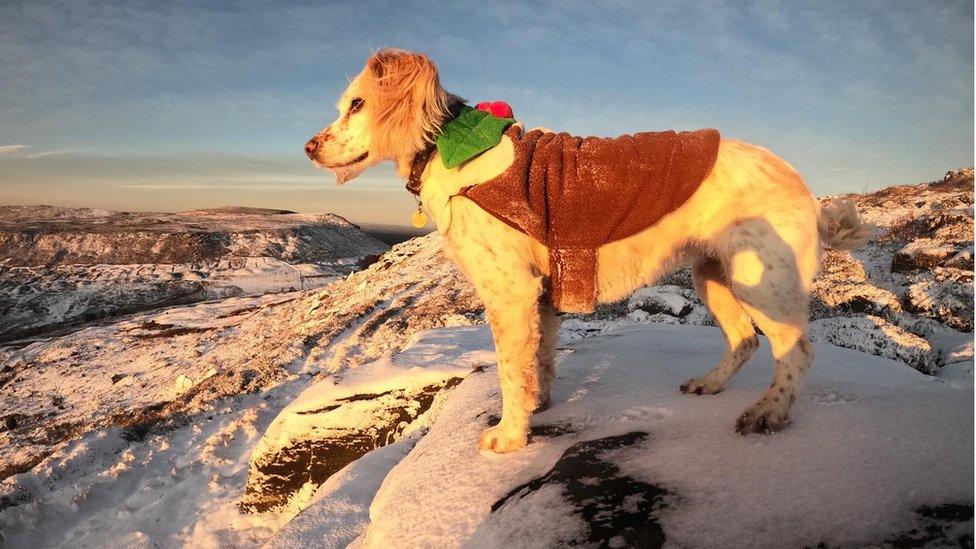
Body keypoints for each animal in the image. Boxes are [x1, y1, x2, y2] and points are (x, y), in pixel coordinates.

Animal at [304, 50, 868, 454]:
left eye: (357, 105)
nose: (308, 148)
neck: (446, 146)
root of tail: (806, 190)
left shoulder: (509, 292)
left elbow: (510, 370)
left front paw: (509, 438)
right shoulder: (541, 292)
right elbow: (539, 361)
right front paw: (538, 408)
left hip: (762, 280)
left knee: (795, 348)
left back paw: (769, 412)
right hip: (713, 275)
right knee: (745, 340)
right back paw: (710, 384)